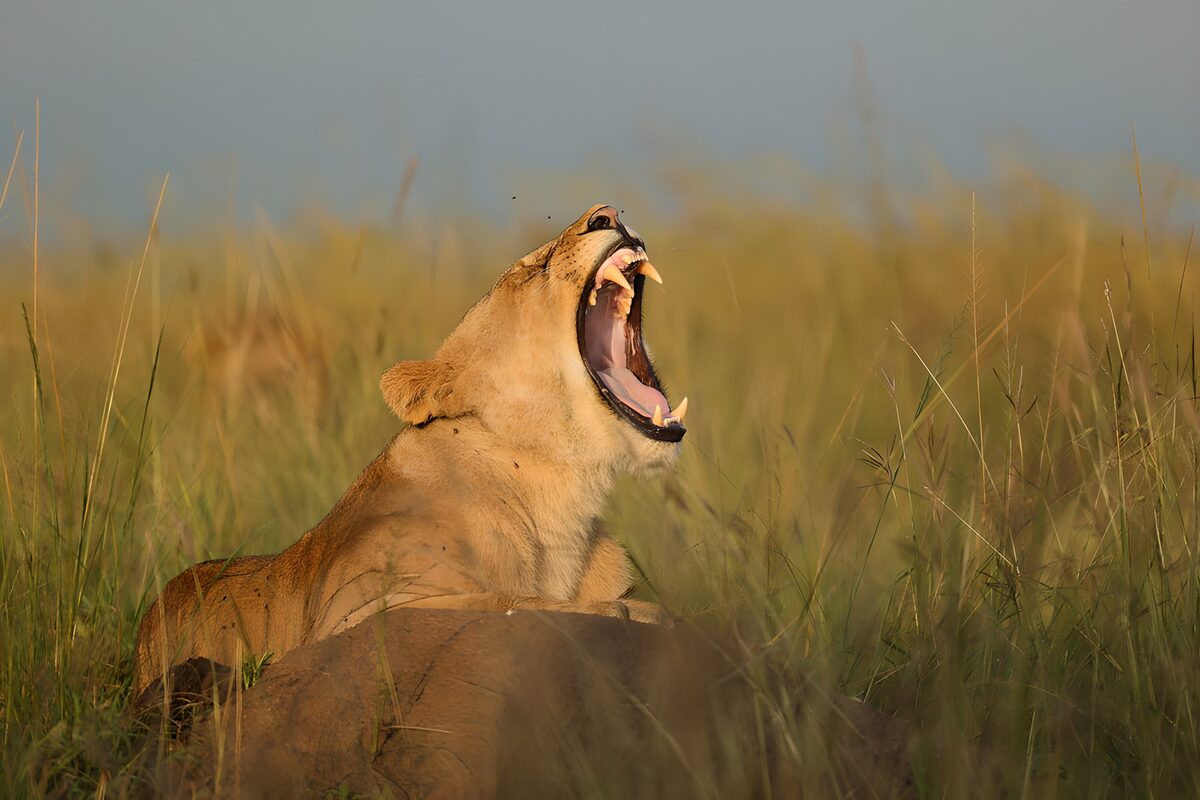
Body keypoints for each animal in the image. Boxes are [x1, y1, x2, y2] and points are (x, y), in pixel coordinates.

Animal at [132, 205, 689, 696]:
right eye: (530, 269)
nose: (608, 215)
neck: (561, 497)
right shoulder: (361, 613)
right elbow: (511, 602)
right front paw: (624, 614)